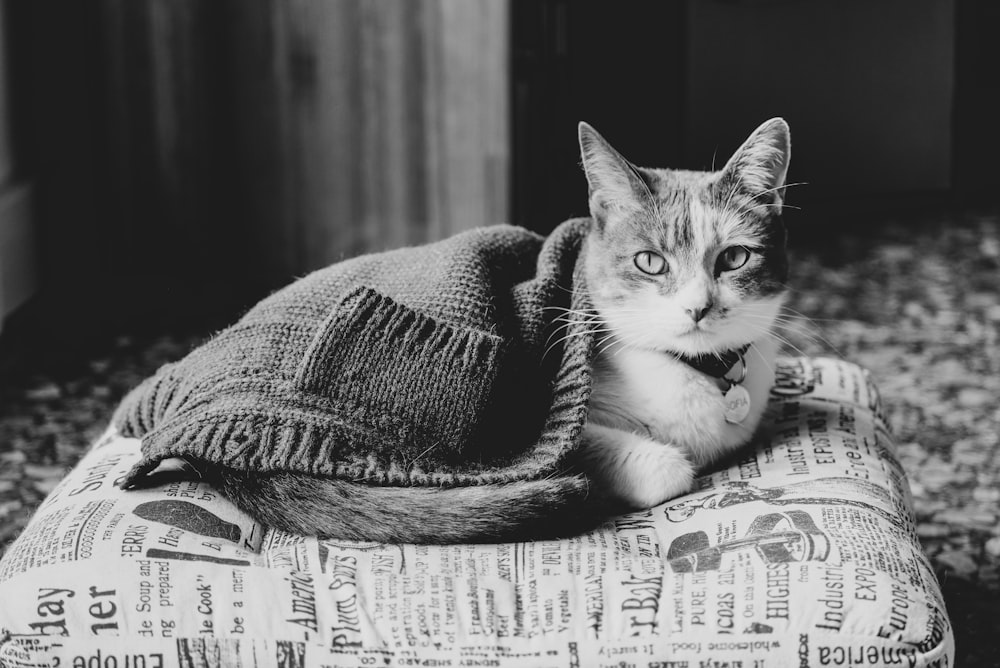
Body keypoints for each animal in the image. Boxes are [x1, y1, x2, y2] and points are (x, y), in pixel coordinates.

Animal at [205, 118, 796, 544]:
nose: (698, 308)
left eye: (734, 258)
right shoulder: (538, 432)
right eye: (650, 262)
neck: (698, 374)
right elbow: (665, 468)